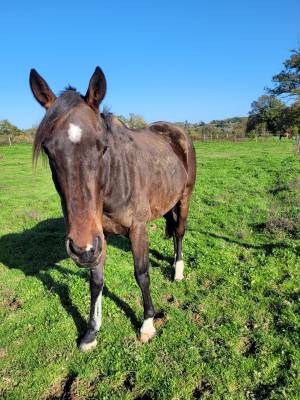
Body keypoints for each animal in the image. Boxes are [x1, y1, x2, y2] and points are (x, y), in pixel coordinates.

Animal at [29, 67, 196, 352]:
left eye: (102, 146)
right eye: (49, 152)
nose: (81, 248)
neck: (114, 182)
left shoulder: (138, 229)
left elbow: (142, 274)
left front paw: (147, 324)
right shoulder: (99, 237)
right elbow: (96, 281)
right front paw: (91, 333)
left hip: (183, 198)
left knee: (180, 232)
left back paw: (178, 270)